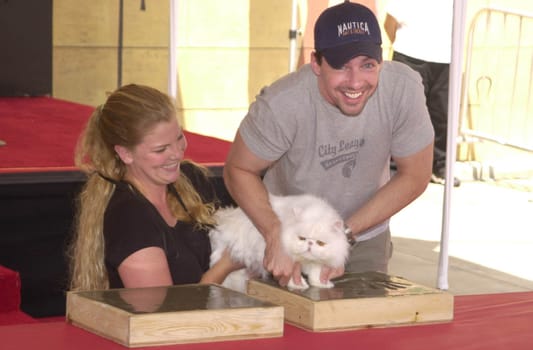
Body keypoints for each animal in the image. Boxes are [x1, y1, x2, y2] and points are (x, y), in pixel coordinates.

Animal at [208, 194, 350, 292]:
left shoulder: (318, 262)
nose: (310, 244)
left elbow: (316, 273)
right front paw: (298, 285)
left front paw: (322, 283)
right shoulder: (286, 261)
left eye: (320, 243)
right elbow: (292, 275)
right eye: (301, 238)